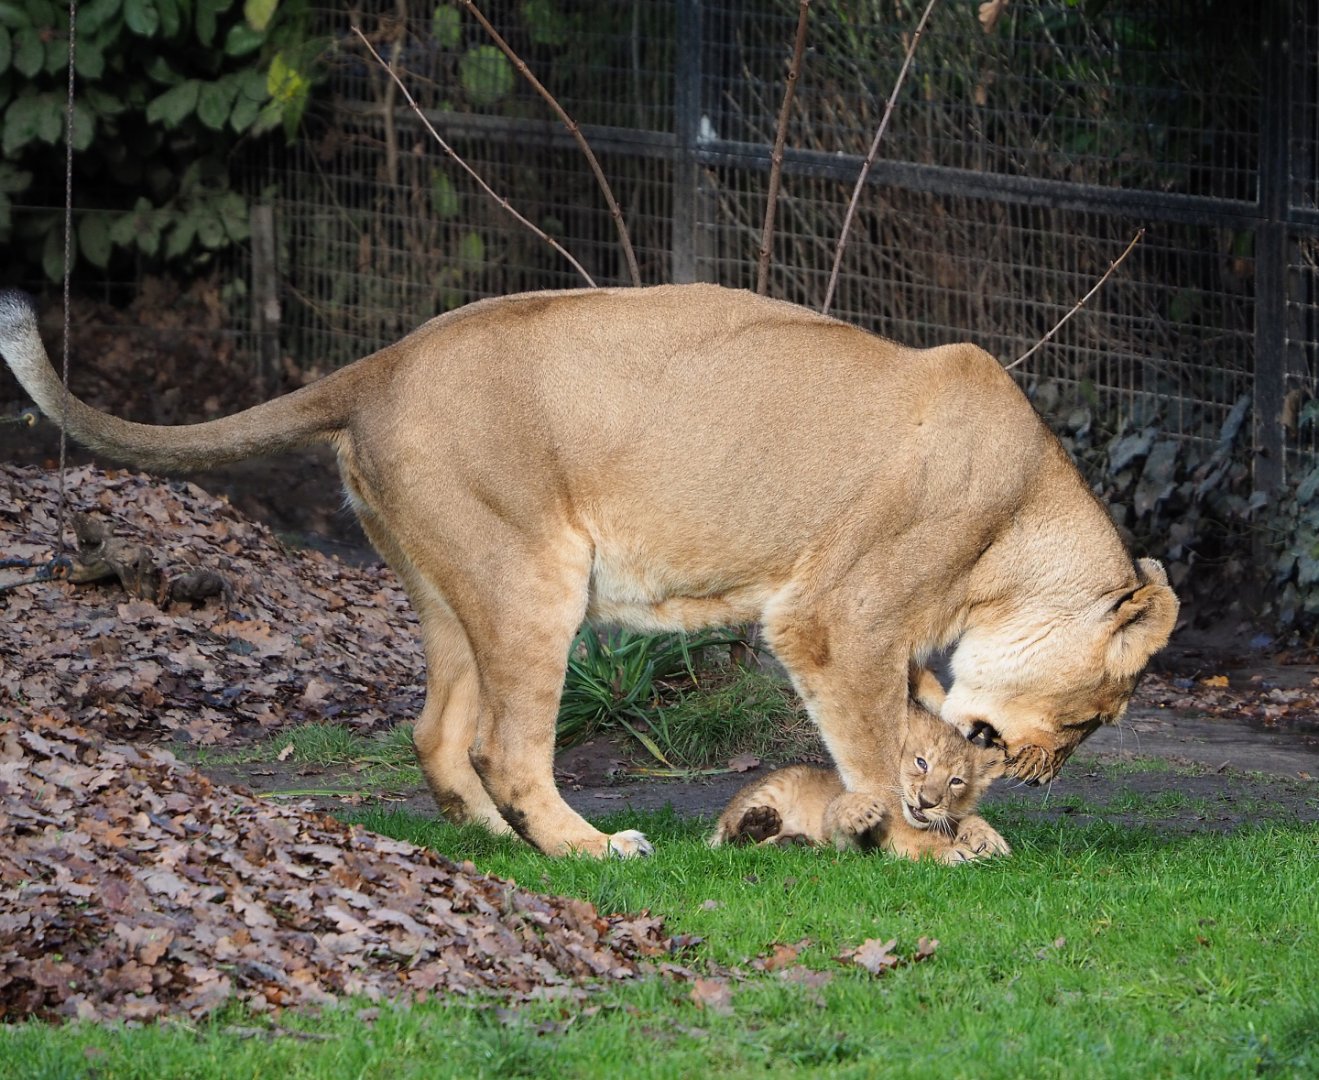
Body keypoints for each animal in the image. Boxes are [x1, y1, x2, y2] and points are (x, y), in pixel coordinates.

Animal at [0, 284, 1178, 859]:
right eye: (1091, 717)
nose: (1047, 773)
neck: (1017, 524)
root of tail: (379, 364)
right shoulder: (834, 621)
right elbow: (877, 756)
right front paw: (912, 837)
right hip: (536, 580)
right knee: (506, 746)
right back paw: (585, 847)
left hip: (455, 585)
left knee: (439, 734)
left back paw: (499, 841)